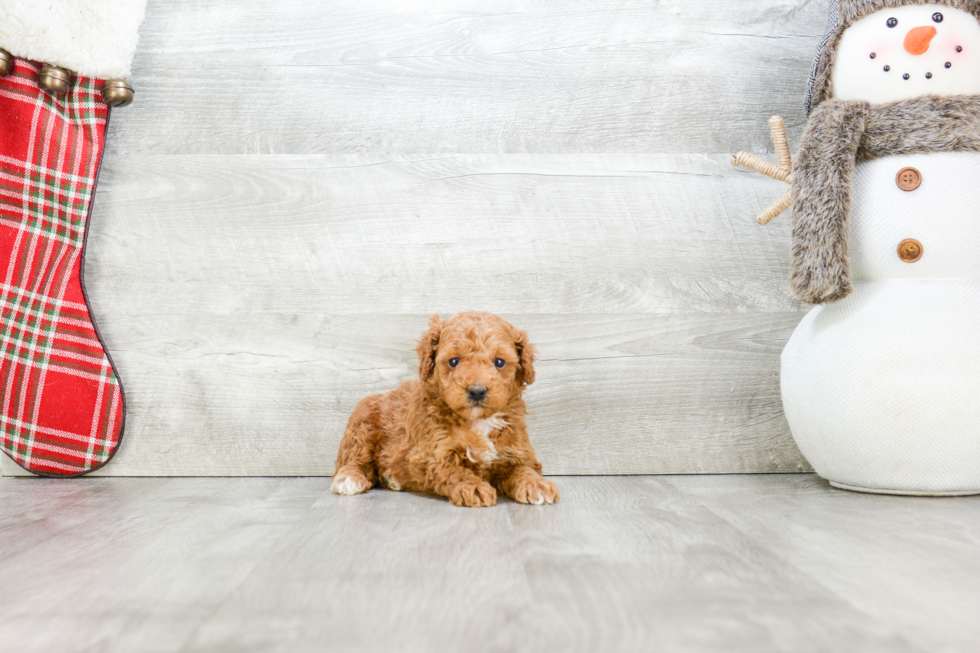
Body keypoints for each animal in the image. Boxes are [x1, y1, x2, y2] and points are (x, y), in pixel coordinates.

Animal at [332, 312, 556, 510]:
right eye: (454, 361)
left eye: (499, 362)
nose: (476, 391)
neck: (478, 421)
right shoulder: (430, 454)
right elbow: (453, 470)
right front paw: (473, 486)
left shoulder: (515, 450)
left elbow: (524, 468)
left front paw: (536, 485)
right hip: (362, 423)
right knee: (354, 460)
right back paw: (350, 478)